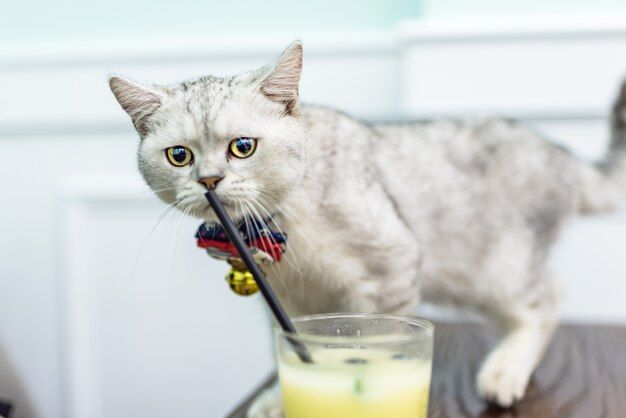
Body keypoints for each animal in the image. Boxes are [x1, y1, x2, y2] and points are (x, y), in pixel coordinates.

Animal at [108, 40, 624, 414]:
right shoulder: (291, 301)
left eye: (243, 147)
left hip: (498, 268)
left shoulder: (390, 266)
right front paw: (278, 399)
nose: (209, 180)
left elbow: (376, 340)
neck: (283, 225)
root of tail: (560, 155)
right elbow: (290, 348)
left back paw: (505, 371)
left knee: (547, 299)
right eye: (180, 155)